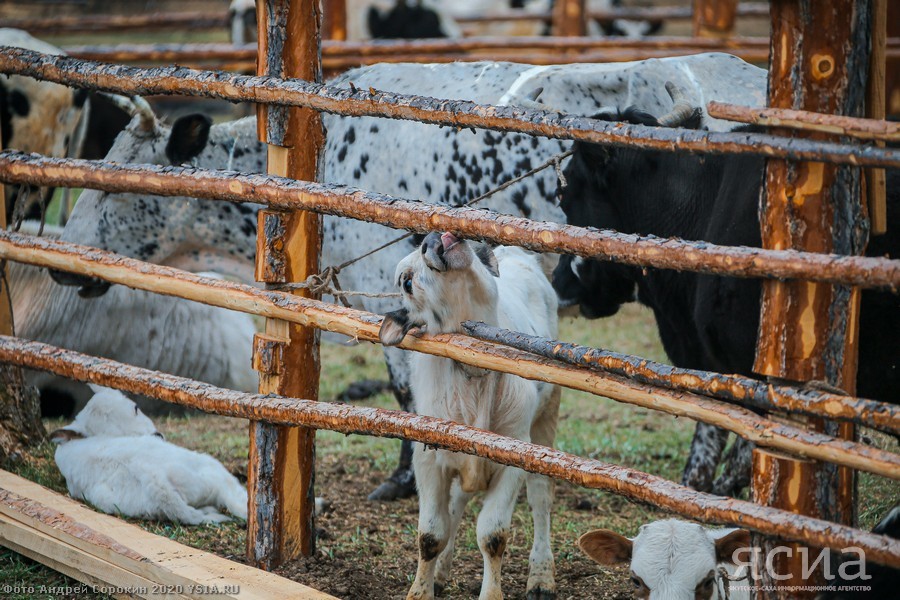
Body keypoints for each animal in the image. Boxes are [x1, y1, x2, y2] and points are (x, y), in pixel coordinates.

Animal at [380, 231, 564, 600]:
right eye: (406, 281)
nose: (433, 237)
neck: (473, 376)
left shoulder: (513, 457)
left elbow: (492, 535)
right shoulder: (427, 458)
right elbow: (431, 534)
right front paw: (421, 590)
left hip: (546, 417)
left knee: (540, 498)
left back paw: (541, 576)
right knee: (456, 505)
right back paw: (442, 572)